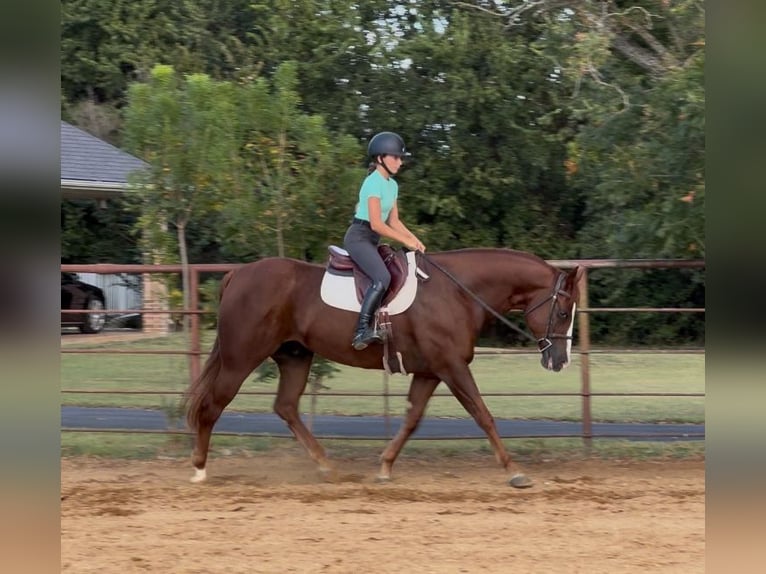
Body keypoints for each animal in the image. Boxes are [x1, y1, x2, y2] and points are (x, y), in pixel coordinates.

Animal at [185, 248, 584, 488]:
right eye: (564, 312)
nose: (560, 360)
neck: (457, 292)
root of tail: (236, 275)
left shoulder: (430, 371)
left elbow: (411, 419)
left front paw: (385, 466)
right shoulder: (452, 367)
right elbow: (483, 414)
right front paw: (515, 471)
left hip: (294, 356)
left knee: (285, 407)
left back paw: (326, 466)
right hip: (240, 358)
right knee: (212, 406)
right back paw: (199, 469)